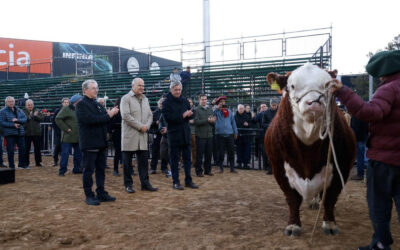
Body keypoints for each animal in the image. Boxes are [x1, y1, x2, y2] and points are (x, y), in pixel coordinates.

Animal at [266, 63, 356, 236]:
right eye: (292, 86)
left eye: (327, 86)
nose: (314, 102)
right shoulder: (279, 169)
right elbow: (292, 199)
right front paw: (293, 225)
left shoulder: (341, 167)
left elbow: (330, 198)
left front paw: (330, 224)